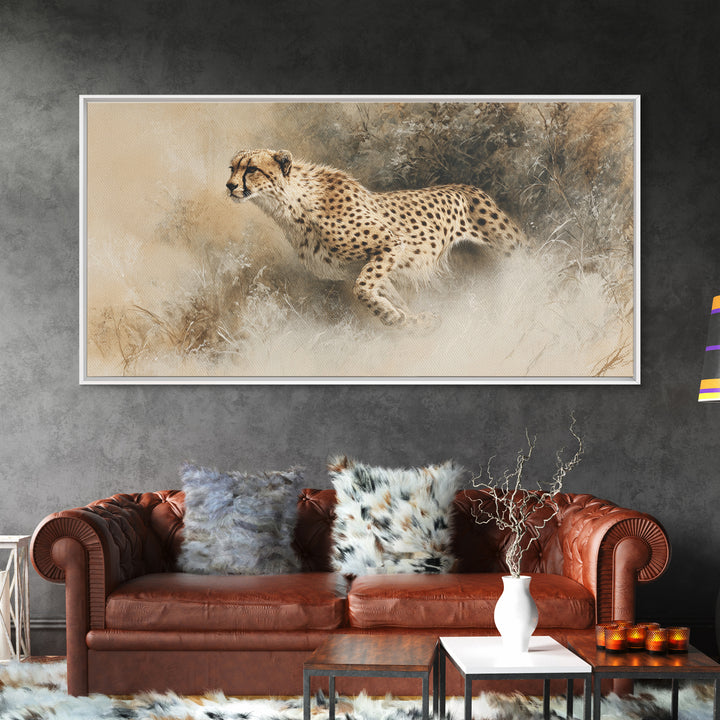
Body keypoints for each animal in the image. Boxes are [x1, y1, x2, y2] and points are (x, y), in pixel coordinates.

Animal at [226, 148, 526, 327]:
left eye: (251, 169)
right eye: (232, 168)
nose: (229, 186)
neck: (292, 205)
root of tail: (471, 187)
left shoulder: (390, 244)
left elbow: (362, 290)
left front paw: (393, 317)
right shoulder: (361, 267)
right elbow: (388, 295)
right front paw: (412, 321)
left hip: (511, 248)